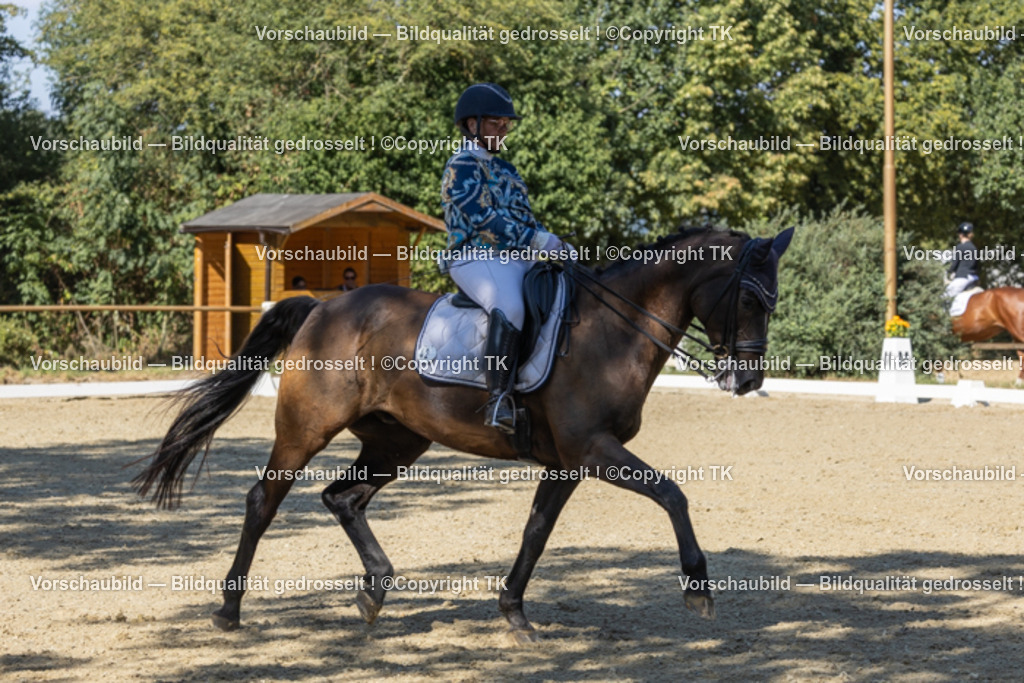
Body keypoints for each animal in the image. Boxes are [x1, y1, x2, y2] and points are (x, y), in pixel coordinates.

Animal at [133, 226, 794, 643]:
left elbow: (536, 532)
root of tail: (323, 308)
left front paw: (514, 613)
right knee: (262, 502)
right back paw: (228, 609)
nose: (748, 379)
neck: (613, 332)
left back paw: (375, 591)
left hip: (398, 440)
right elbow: (673, 494)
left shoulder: (568, 463)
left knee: (343, 498)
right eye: (750, 299)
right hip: (306, 430)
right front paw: (699, 588)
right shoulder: (594, 451)